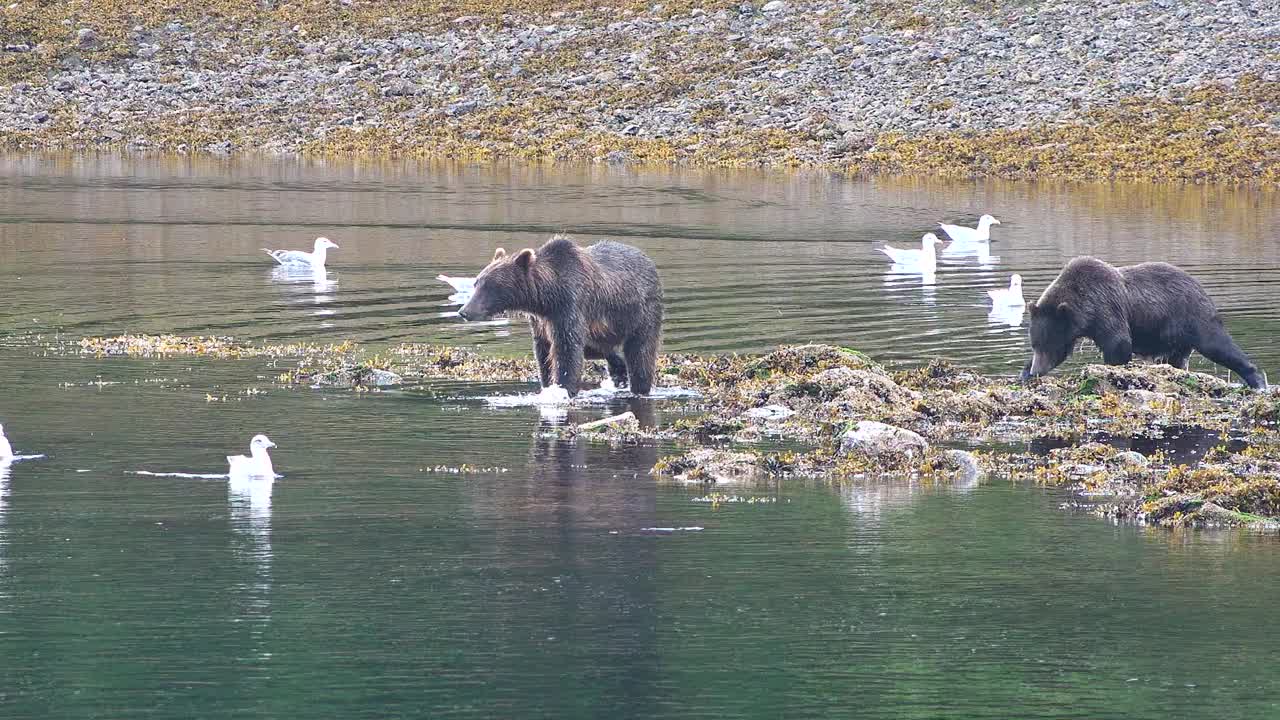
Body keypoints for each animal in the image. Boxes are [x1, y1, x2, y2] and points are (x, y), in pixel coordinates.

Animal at [458, 235, 660, 394]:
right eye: (477, 282)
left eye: (491, 286)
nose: (465, 311)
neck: (547, 297)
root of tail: (650, 263)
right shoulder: (541, 321)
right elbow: (545, 352)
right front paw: (547, 383)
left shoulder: (569, 307)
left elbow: (567, 350)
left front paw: (563, 388)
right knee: (599, 348)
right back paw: (619, 371)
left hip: (641, 314)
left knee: (640, 354)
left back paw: (638, 384)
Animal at [1024, 253, 1264, 386]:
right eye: (1035, 344)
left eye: (1047, 344)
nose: (1036, 371)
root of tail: (1200, 286)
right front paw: (1024, 372)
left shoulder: (1106, 307)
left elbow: (1118, 343)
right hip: (1174, 337)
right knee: (1177, 359)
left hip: (1192, 315)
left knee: (1217, 344)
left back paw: (1257, 380)